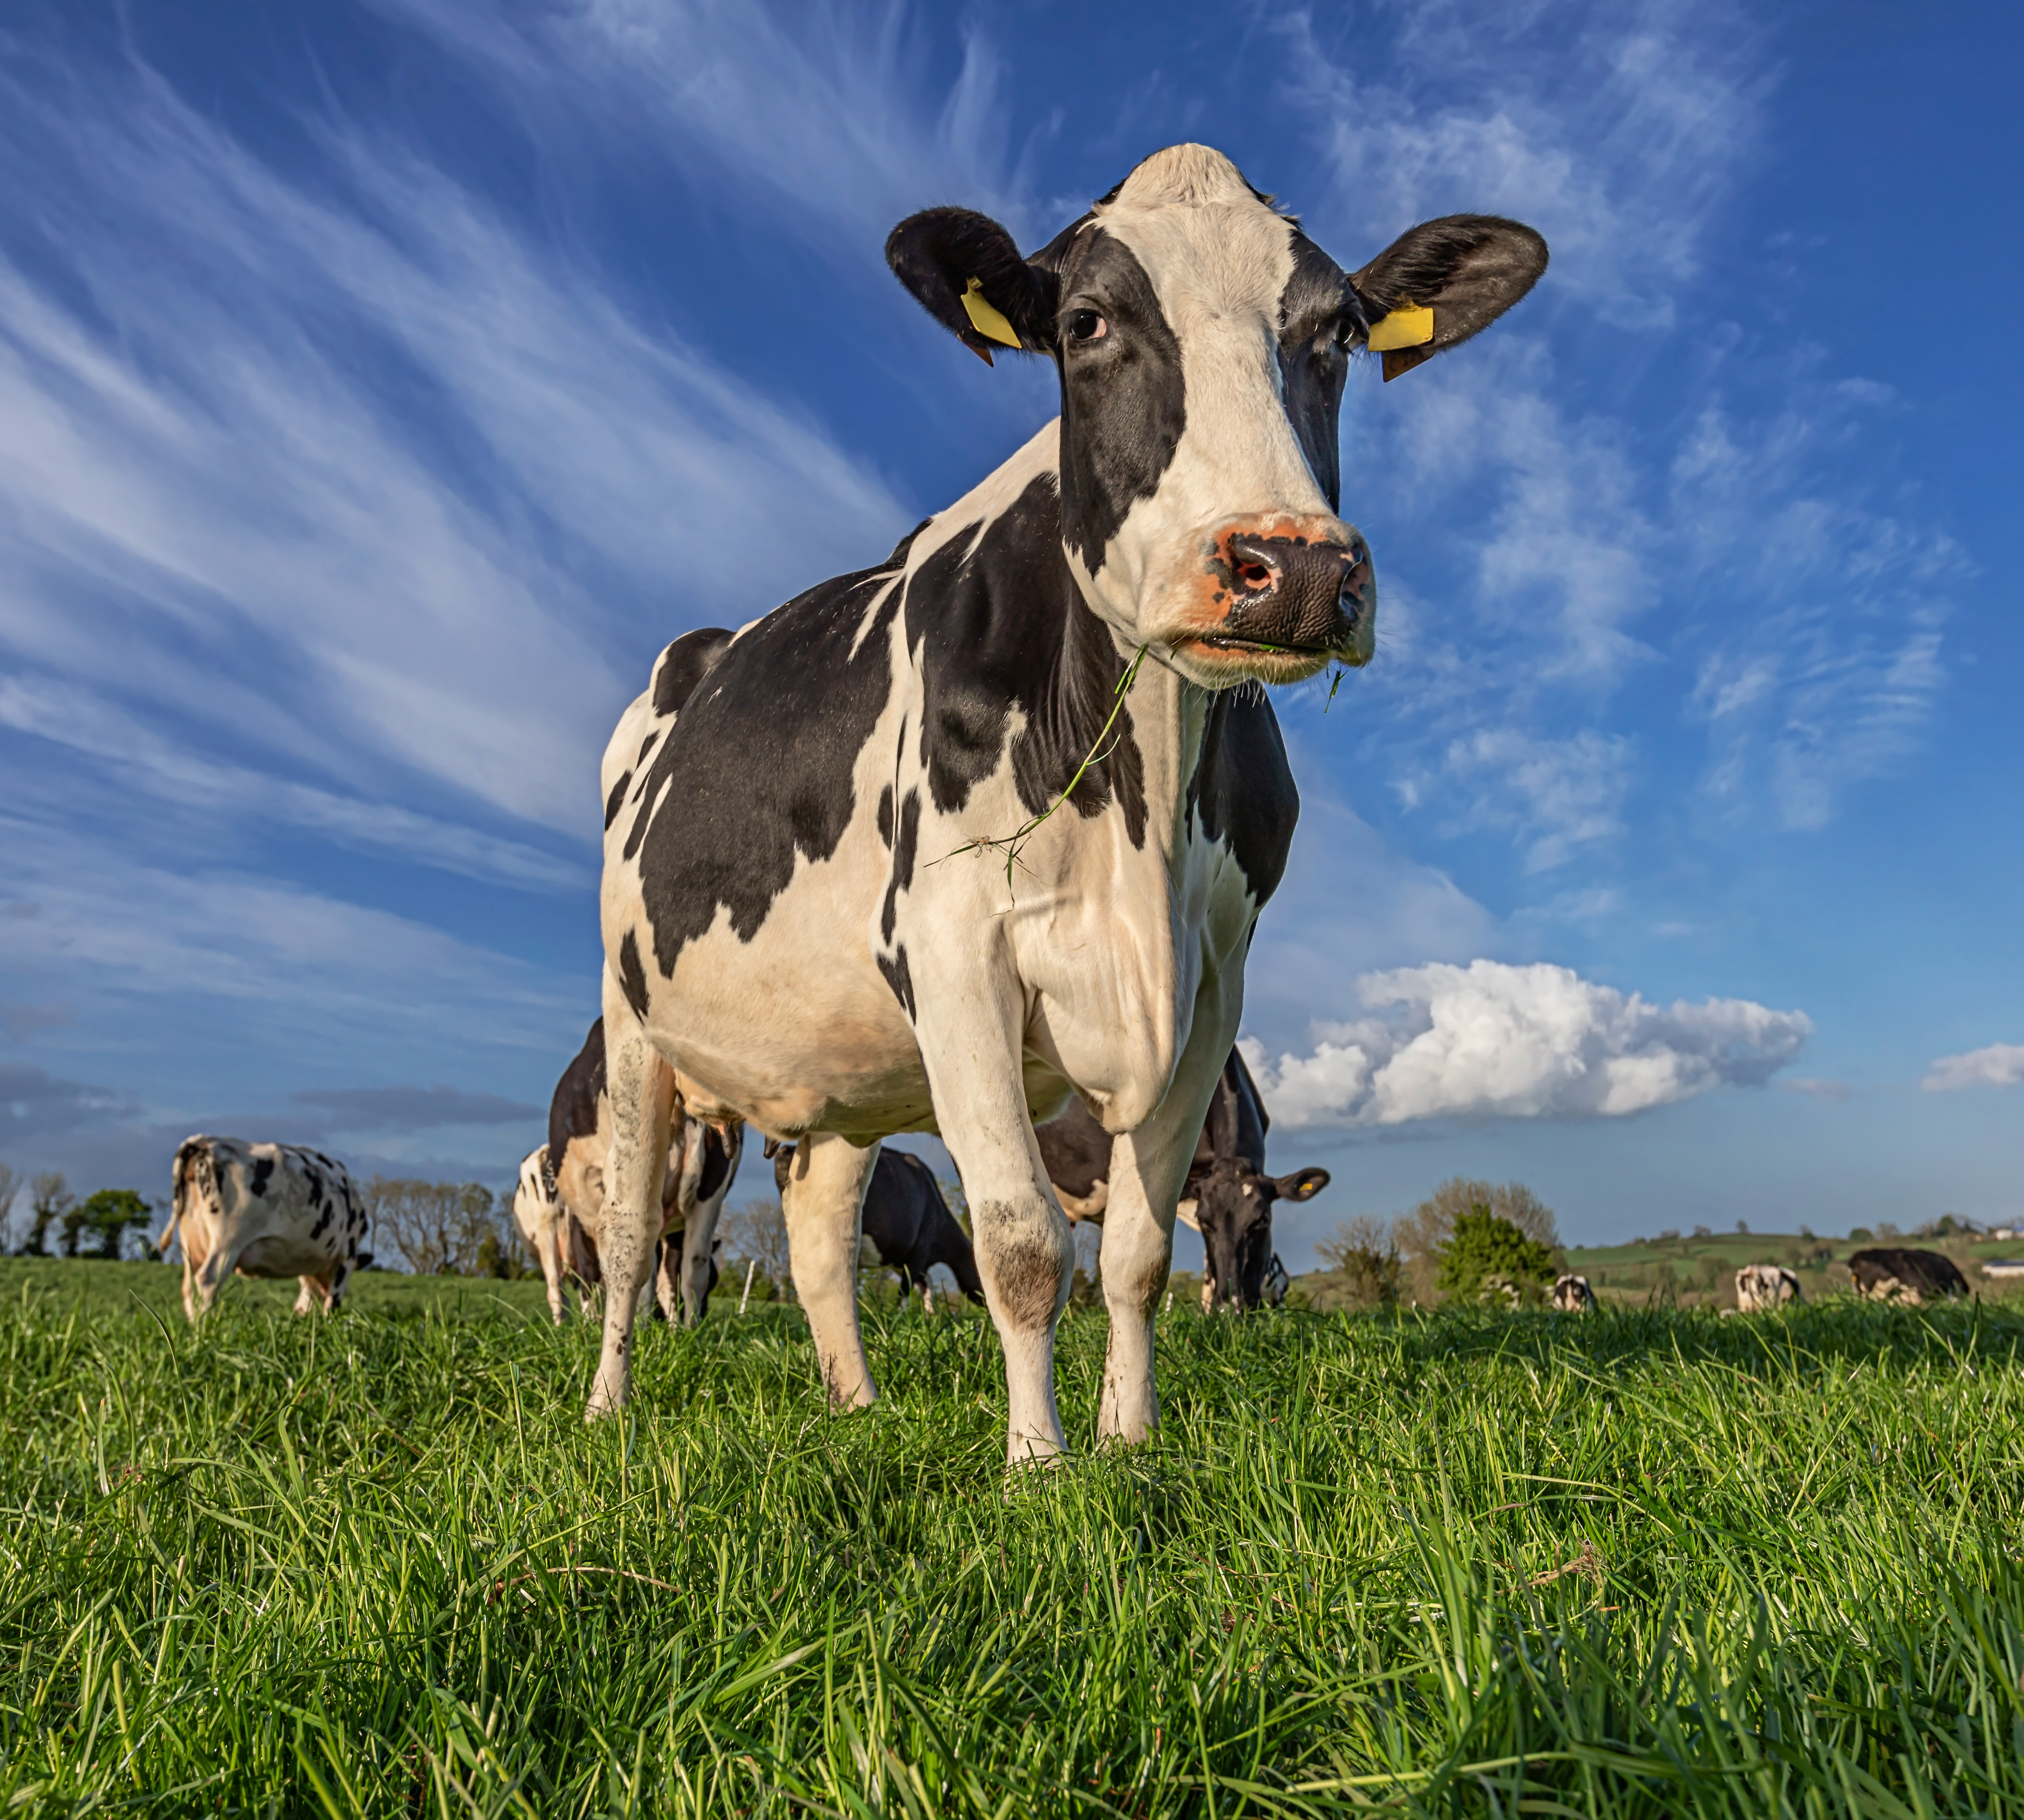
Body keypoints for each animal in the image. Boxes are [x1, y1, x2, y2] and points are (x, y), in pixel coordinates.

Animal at [160, 1136, 369, 1322]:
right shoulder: (346, 1258)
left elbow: (305, 1303)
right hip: (227, 1241)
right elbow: (332, 1306)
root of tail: (204, 1142)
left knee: (189, 1288)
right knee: (207, 1282)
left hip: (191, 1243)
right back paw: (205, 1332)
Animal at [769, 1140, 986, 1310]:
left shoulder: (903, 1259)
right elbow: (905, 1294)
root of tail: (788, 1149)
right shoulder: (920, 1249)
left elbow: (925, 1286)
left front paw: (930, 1318)